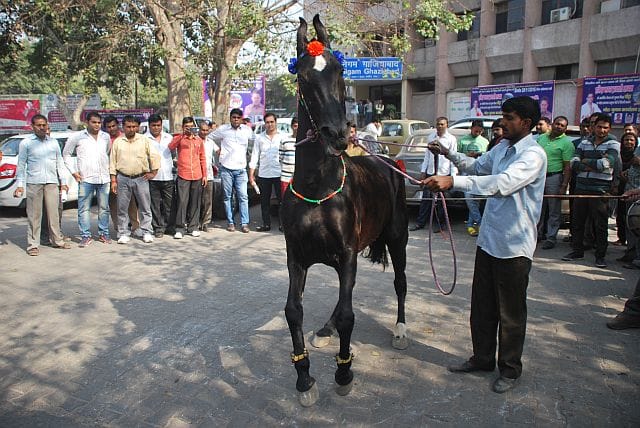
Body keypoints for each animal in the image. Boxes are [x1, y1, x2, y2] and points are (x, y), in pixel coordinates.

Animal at [280, 15, 410, 407]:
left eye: (340, 72)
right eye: (305, 76)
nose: (337, 134)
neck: (317, 190)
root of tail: (388, 162)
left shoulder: (348, 252)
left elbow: (351, 313)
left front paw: (343, 372)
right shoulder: (297, 257)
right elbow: (293, 311)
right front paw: (304, 378)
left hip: (398, 237)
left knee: (400, 283)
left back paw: (400, 330)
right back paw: (326, 328)